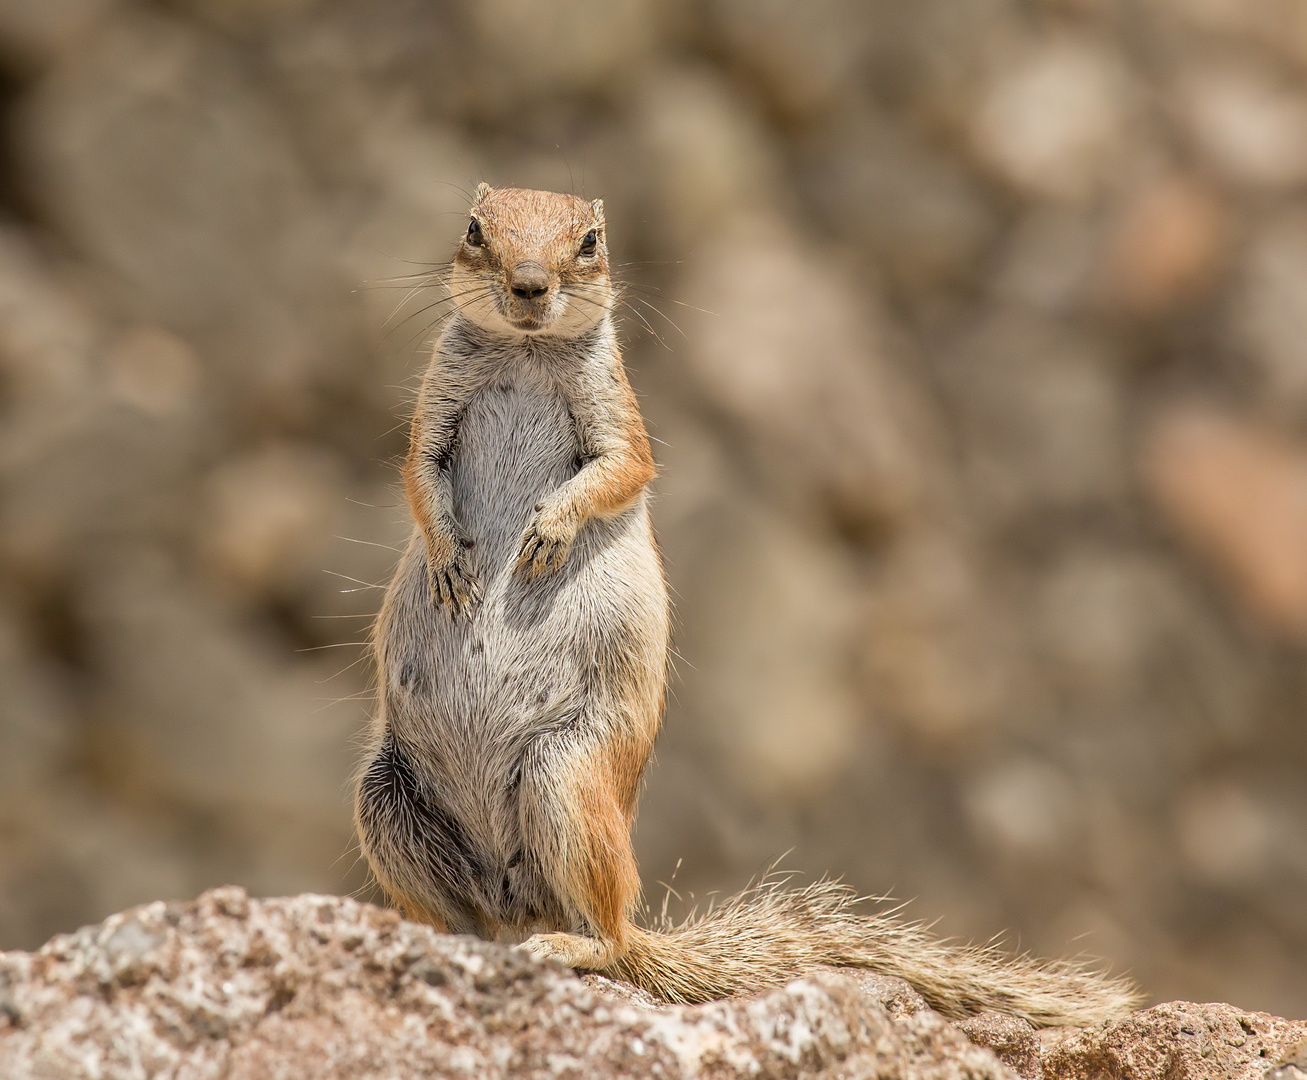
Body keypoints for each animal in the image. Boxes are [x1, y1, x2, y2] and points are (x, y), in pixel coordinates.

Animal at [352, 180, 1139, 1025]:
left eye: (590, 240)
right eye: (474, 230)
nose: (529, 285)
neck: (524, 352)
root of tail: (518, 908)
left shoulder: (621, 421)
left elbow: (619, 471)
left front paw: (549, 531)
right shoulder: (435, 410)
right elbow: (418, 474)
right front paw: (448, 560)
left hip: (565, 777)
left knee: (609, 937)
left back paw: (568, 945)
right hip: (383, 799)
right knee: (467, 920)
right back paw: (436, 938)